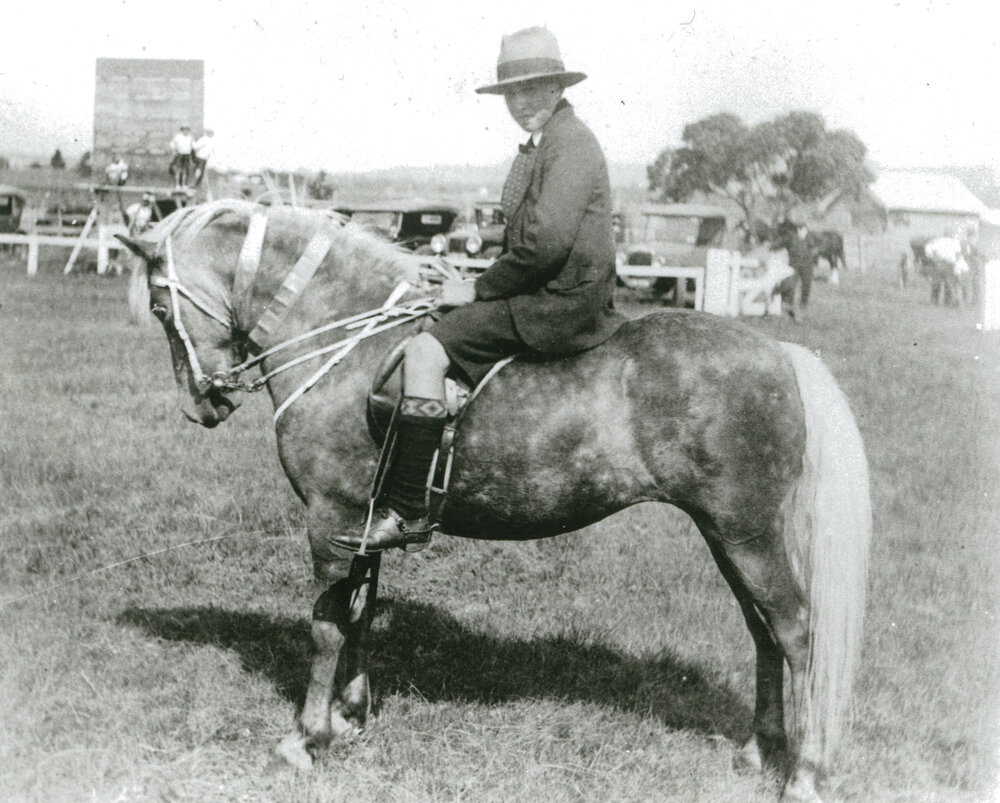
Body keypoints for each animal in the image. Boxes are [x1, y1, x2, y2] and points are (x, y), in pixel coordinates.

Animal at [119, 199, 871, 801]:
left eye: (158, 306)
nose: (202, 405)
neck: (348, 337)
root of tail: (780, 351)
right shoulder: (363, 525)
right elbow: (361, 615)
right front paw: (351, 715)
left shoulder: (330, 522)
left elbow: (327, 625)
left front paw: (306, 737)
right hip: (730, 535)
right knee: (762, 630)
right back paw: (756, 753)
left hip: (747, 534)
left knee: (795, 631)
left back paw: (805, 771)